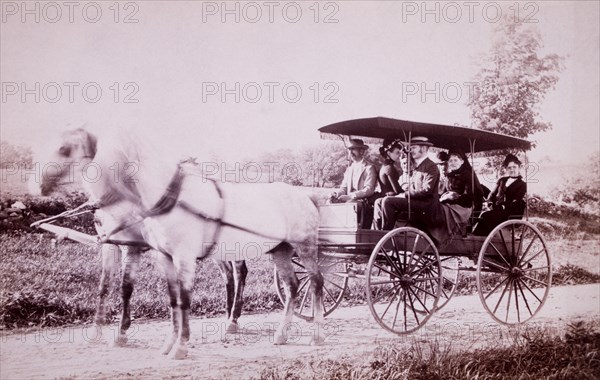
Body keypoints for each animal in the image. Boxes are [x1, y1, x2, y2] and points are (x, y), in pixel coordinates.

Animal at [37, 127, 324, 360]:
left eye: (64, 148)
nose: (39, 183)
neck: (167, 198)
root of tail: (305, 195)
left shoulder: (160, 252)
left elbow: (173, 297)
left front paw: (175, 346)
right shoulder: (147, 252)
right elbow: (146, 294)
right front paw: (157, 342)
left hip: (304, 247)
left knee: (314, 283)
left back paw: (315, 335)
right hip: (279, 250)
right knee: (290, 286)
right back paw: (277, 333)